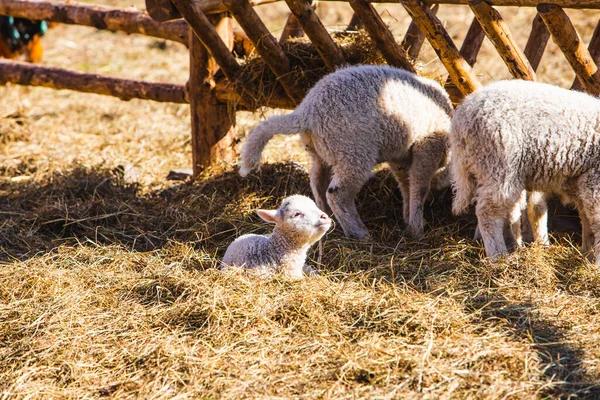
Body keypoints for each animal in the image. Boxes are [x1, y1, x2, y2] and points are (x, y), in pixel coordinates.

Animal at [237, 65, 452, 239]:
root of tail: (306, 111)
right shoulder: (428, 146)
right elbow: (419, 186)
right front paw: (417, 229)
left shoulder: (400, 157)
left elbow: (406, 185)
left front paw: (408, 219)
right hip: (353, 151)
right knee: (337, 194)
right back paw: (359, 232)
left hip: (322, 151)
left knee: (317, 183)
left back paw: (326, 219)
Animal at [452, 79, 600, 264]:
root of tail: (462, 116)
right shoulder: (594, 182)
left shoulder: (583, 182)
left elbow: (587, 220)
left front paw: (588, 255)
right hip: (499, 165)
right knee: (488, 213)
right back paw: (498, 257)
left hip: (492, 170)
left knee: (510, 211)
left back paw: (516, 247)